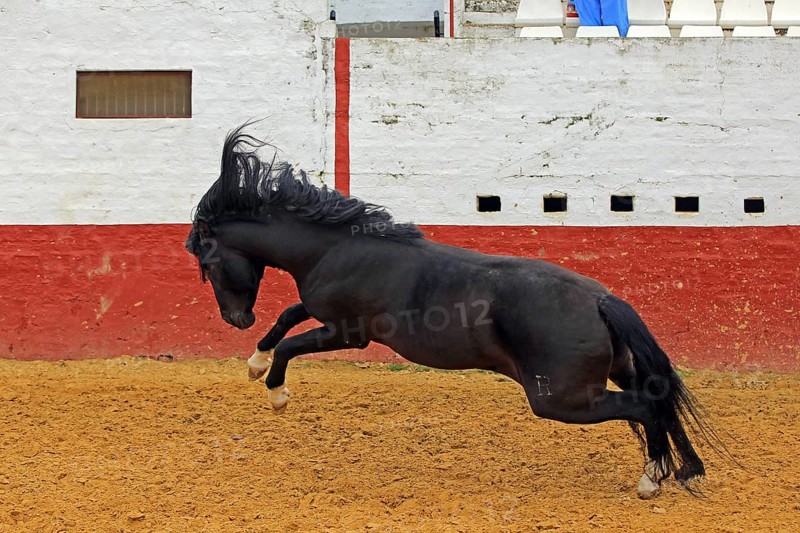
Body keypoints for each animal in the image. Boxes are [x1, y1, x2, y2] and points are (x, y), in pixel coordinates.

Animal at [186, 124, 730, 499]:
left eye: (207, 262)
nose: (236, 320)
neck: (337, 248)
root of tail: (601, 300)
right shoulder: (322, 312)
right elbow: (286, 318)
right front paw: (254, 363)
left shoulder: (346, 332)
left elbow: (292, 344)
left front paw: (276, 393)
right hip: (611, 375)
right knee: (655, 403)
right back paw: (674, 471)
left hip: (561, 399)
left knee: (644, 409)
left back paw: (651, 481)